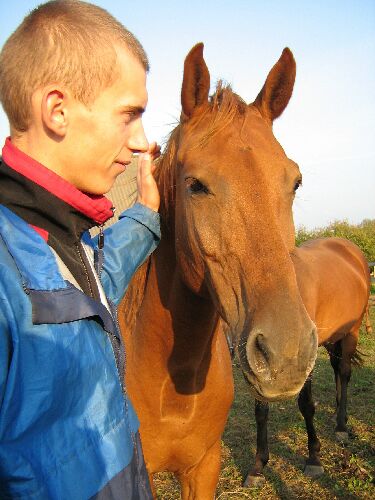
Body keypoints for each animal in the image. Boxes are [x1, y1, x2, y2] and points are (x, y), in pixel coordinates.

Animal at [245, 236, 372, 486]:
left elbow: (306, 405)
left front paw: (314, 458)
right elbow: (261, 411)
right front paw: (258, 467)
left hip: (351, 331)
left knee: (344, 371)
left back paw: (341, 426)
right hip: (333, 337)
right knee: (336, 368)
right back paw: (338, 414)